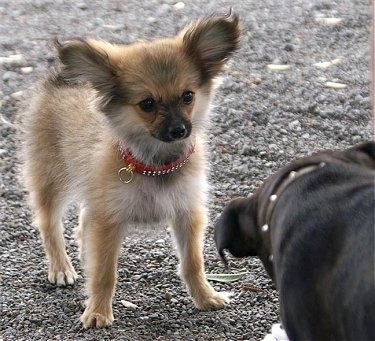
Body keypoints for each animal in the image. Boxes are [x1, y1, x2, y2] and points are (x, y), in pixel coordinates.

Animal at [22, 13, 241, 326]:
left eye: (188, 96)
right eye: (147, 104)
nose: (179, 130)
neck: (155, 164)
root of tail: (62, 77)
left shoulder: (187, 212)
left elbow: (192, 263)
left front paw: (205, 297)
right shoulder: (108, 220)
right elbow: (104, 273)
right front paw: (98, 312)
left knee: (82, 220)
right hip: (52, 179)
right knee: (49, 224)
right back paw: (61, 267)